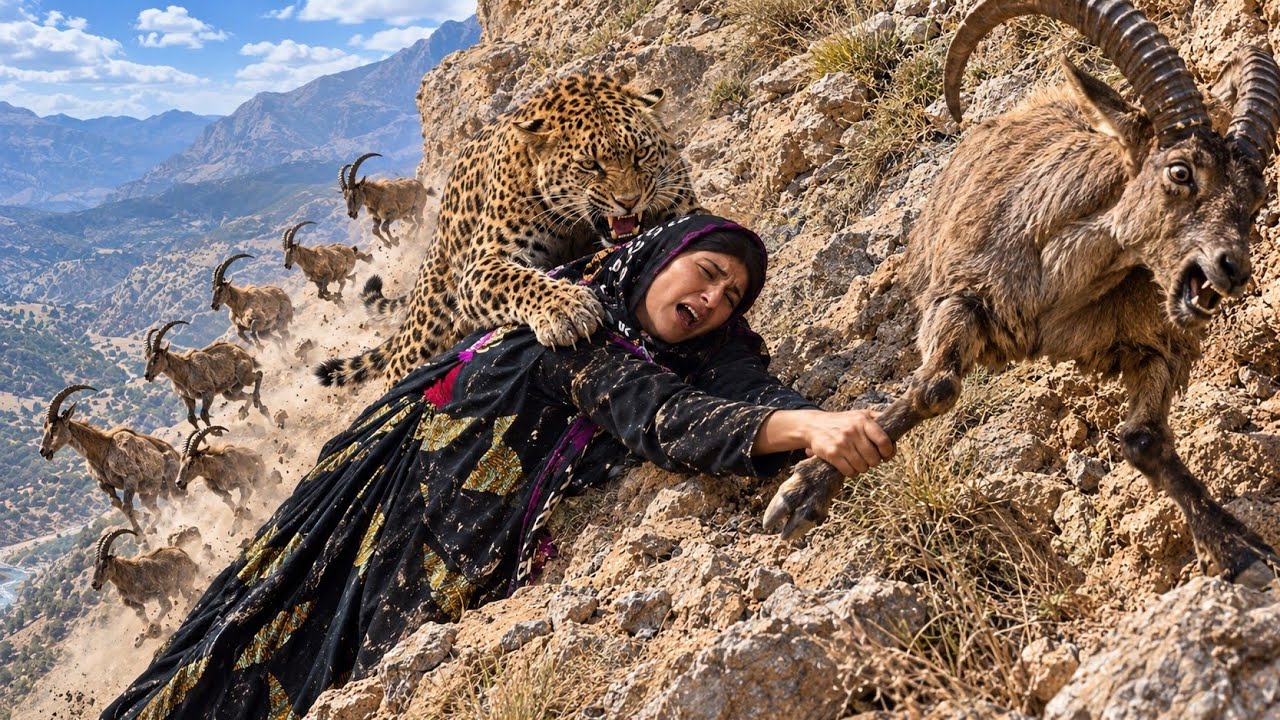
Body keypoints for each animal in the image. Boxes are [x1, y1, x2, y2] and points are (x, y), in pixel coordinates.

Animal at [39, 384, 180, 539]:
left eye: (54, 428)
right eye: (45, 428)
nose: (43, 451)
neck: (102, 452)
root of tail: (176, 453)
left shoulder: (131, 477)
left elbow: (126, 506)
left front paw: (140, 537)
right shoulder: (105, 484)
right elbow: (118, 504)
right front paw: (143, 518)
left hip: (168, 475)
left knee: (175, 497)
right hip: (153, 489)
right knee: (157, 505)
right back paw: (152, 524)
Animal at [316, 72, 702, 390]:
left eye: (641, 154)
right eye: (590, 165)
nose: (629, 201)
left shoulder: (683, 205)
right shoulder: (482, 263)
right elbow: (519, 279)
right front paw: (565, 308)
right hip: (427, 327)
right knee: (398, 368)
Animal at [764, 0, 1280, 589]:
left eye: (1256, 198)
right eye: (1180, 171)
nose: (1232, 269)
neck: (1058, 288)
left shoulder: (1159, 343)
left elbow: (1144, 438)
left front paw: (1237, 547)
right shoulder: (957, 296)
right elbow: (935, 388)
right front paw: (803, 493)